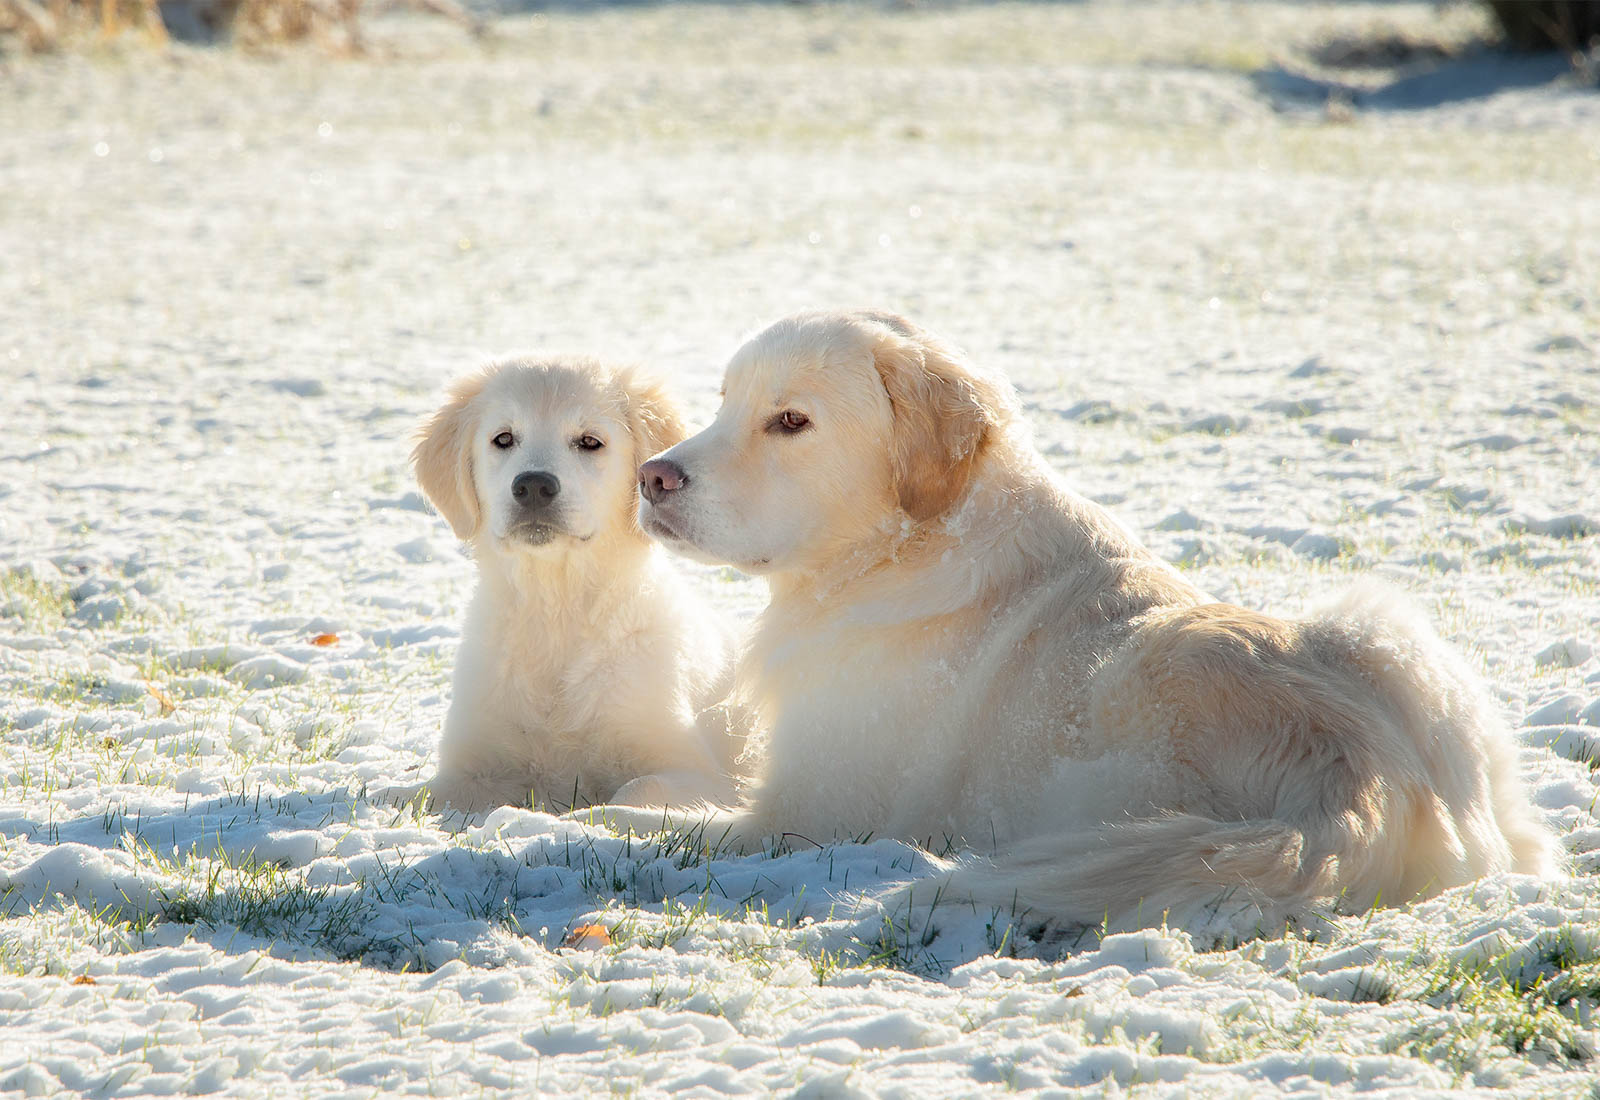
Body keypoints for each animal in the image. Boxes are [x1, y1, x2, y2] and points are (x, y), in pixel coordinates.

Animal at [409, 356, 739, 812]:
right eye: (503, 438)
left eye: (589, 441)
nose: (533, 485)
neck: (556, 607)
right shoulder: (473, 761)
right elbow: (416, 797)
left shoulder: (696, 770)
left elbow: (636, 789)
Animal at [585, 310, 1561, 933]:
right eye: (724, 402)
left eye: (791, 421)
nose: (653, 477)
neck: (903, 549)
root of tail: (1359, 771)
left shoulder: (802, 813)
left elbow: (646, 814)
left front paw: (589, 815)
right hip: (1385, 627)